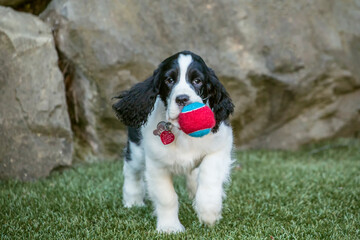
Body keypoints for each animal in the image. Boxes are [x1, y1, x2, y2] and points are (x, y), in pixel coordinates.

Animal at [114, 50, 235, 232]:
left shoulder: (220, 145)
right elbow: (167, 197)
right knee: (131, 170)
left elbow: (209, 175)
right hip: (137, 149)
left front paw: (208, 213)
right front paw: (169, 227)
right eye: (169, 80)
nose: (182, 99)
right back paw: (133, 201)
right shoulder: (156, 163)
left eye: (197, 81)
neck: (182, 133)